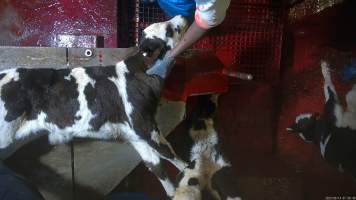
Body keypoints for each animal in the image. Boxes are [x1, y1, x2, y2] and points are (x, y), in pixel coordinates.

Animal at [0, 15, 189, 197]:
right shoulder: (146, 126)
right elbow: (173, 156)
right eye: (169, 30)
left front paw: (174, 192)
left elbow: (155, 165)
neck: (136, 72)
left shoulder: (135, 134)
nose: (183, 16)